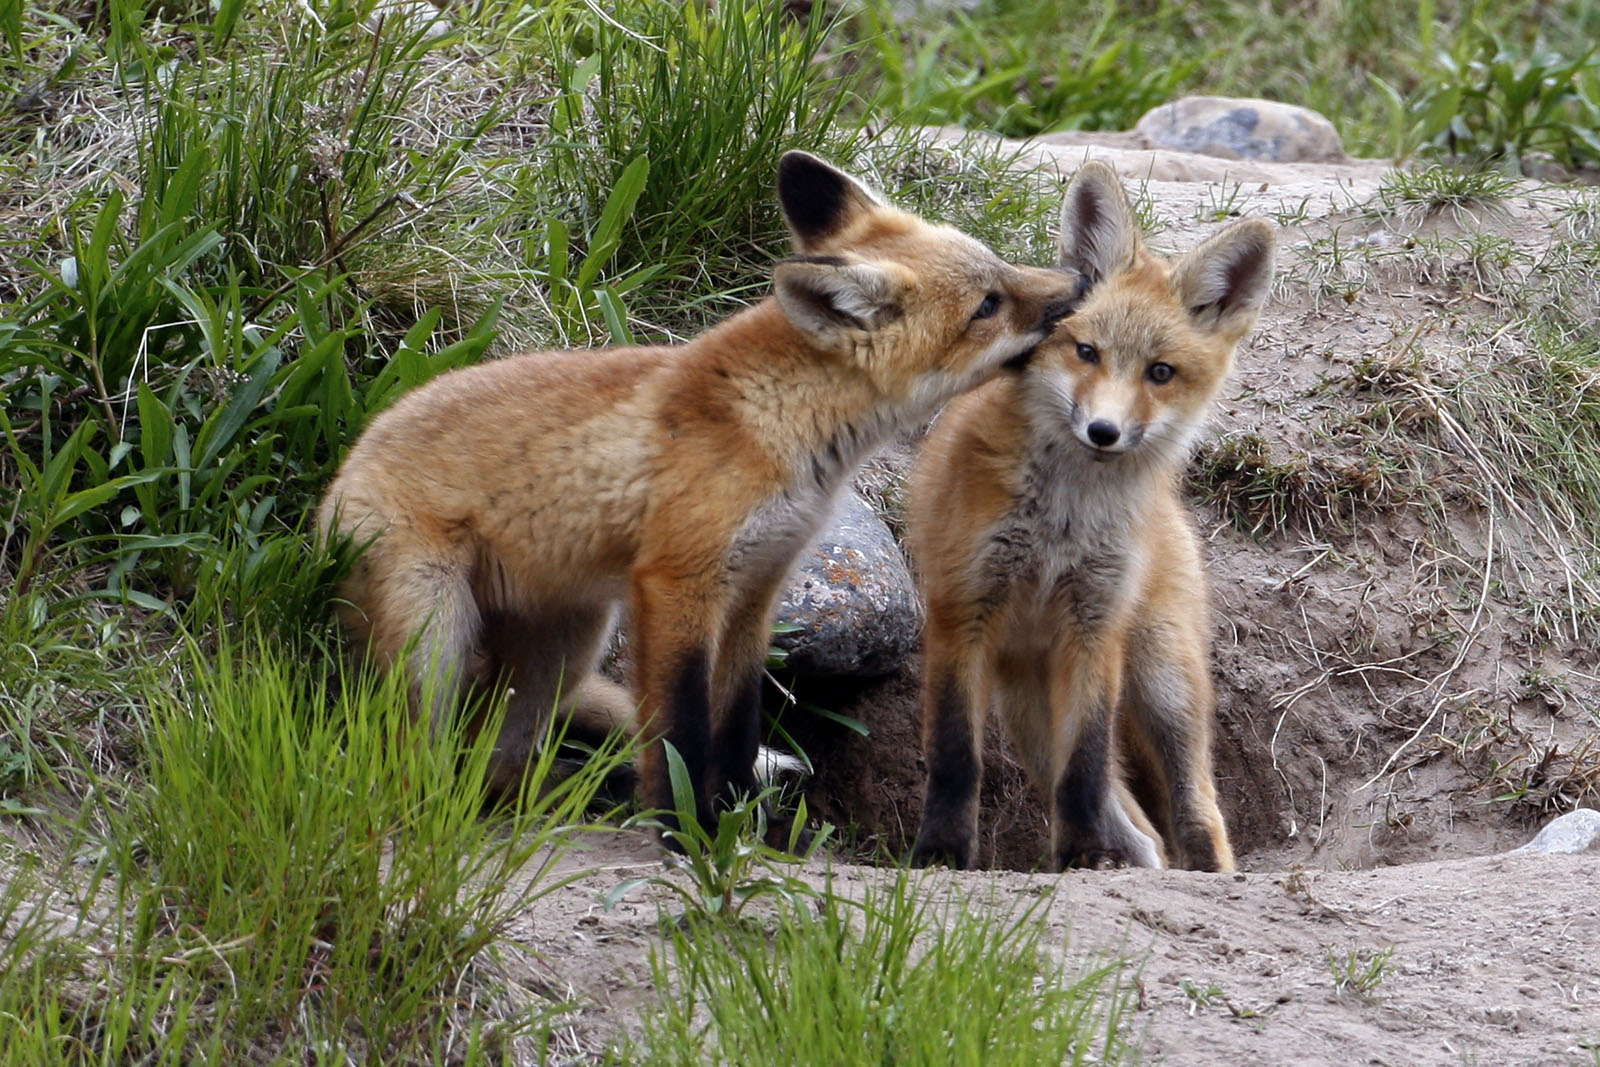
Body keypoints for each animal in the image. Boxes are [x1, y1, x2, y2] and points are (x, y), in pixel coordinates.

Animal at [318, 151, 1082, 835]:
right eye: (988, 305)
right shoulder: (676, 581)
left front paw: (736, 825)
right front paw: (683, 833)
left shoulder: (756, 590)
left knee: (494, 761)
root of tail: (339, 476)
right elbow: (680, 732)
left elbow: (734, 726)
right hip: (435, 638)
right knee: (420, 758)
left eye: (1001, 267)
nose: (1076, 286)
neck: (781, 426)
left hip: (566, 647)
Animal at [906, 161, 1275, 873]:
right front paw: (940, 854)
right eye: (1086, 352)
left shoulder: (1094, 627)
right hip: (1028, 717)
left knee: (1194, 813)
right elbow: (955, 757)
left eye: (1160, 372)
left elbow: (1085, 768)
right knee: (1145, 832)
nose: (1103, 431)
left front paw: (1079, 857)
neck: (1063, 523)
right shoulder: (963, 612)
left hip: (1163, 684)